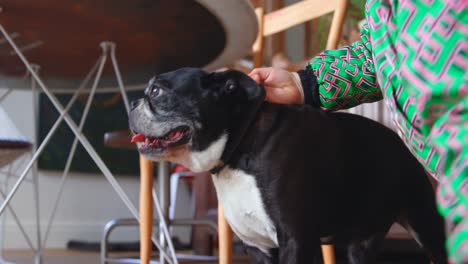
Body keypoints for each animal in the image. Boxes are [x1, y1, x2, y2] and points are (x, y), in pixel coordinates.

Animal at [127, 68, 446, 264]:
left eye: (156, 92)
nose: (131, 103)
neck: (239, 148)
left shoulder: (295, 240)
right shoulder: (259, 246)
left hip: (426, 224)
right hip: (361, 244)